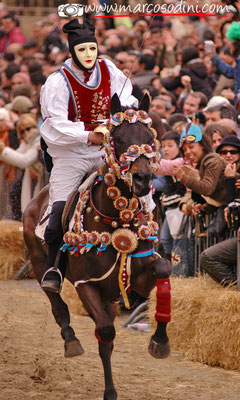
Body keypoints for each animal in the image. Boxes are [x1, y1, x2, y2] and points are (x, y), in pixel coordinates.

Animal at [23, 94, 171, 400]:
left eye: (150, 138)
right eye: (118, 138)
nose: (143, 179)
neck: (116, 220)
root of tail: (37, 198)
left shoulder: (138, 279)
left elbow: (163, 268)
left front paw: (160, 341)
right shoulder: (85, 284)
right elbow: (105, 331)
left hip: (110, 295)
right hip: (38, 263)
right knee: (57, 304)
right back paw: (70, 340)